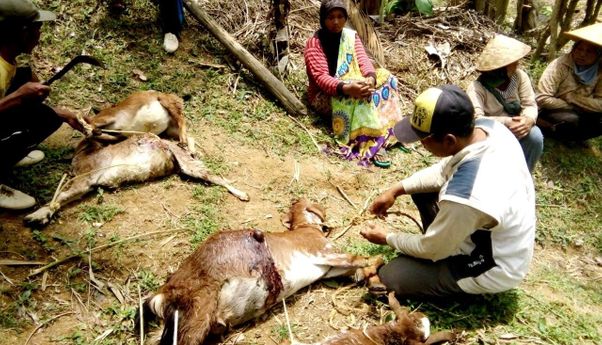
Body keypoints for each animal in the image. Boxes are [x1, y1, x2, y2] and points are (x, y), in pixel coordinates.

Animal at [137, 198, 380, 344]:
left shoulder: (328, 268)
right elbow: (356, 258)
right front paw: (377, 260)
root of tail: (163, 292)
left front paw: (371, 278)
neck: (304, 228)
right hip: (199, 308)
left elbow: (351, 269)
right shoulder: (322, 251)